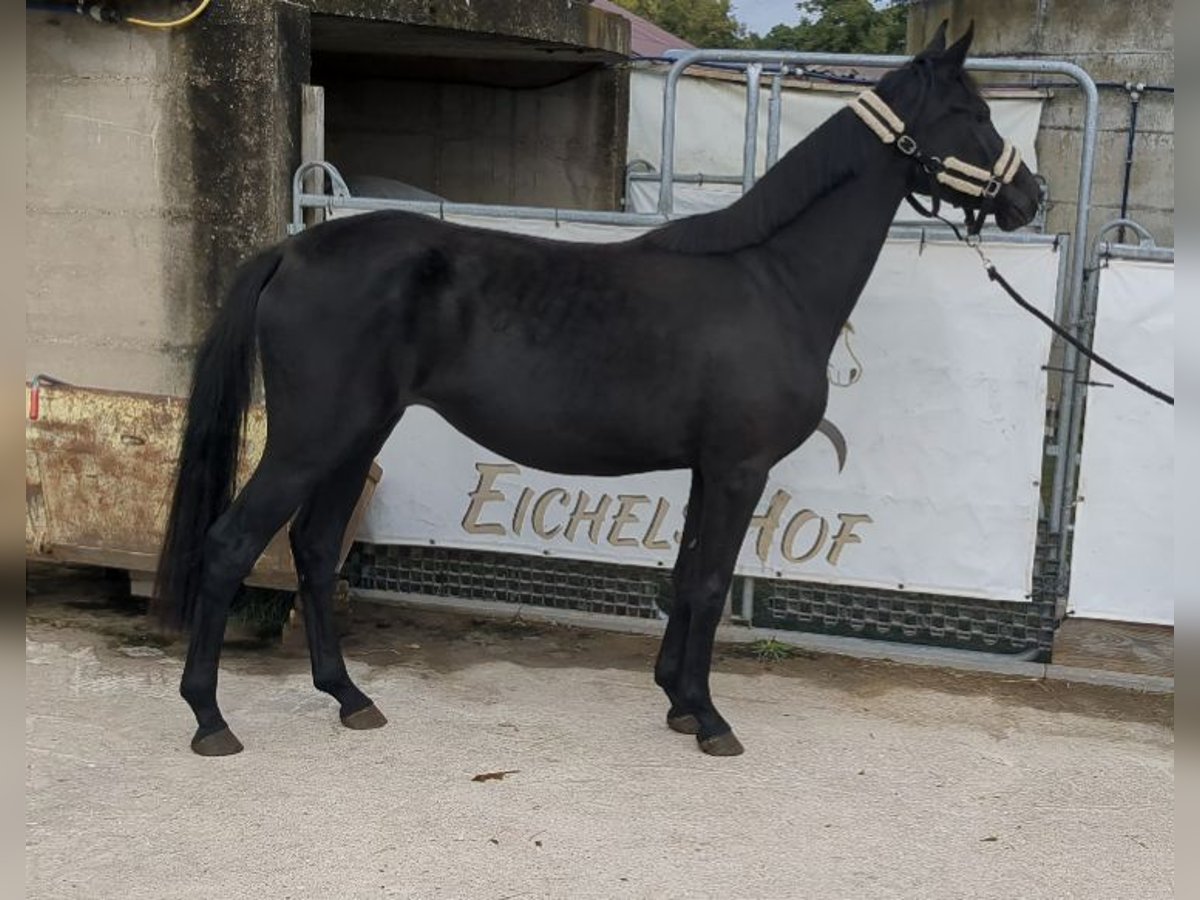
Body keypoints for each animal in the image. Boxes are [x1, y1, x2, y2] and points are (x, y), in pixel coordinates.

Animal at [156, 22, 1040, 757]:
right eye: (976, 112)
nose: (1030, 198)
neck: (771, 278)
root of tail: (293, 251)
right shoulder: (739, 469)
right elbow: (709, 582)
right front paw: (710, 719)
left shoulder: (708, 469)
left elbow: (685, 575)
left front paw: (677, 700)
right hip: (312, 439)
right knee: (232, 544)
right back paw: (208, 718)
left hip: (356, 436)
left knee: (311, 548)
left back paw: (349, 698)